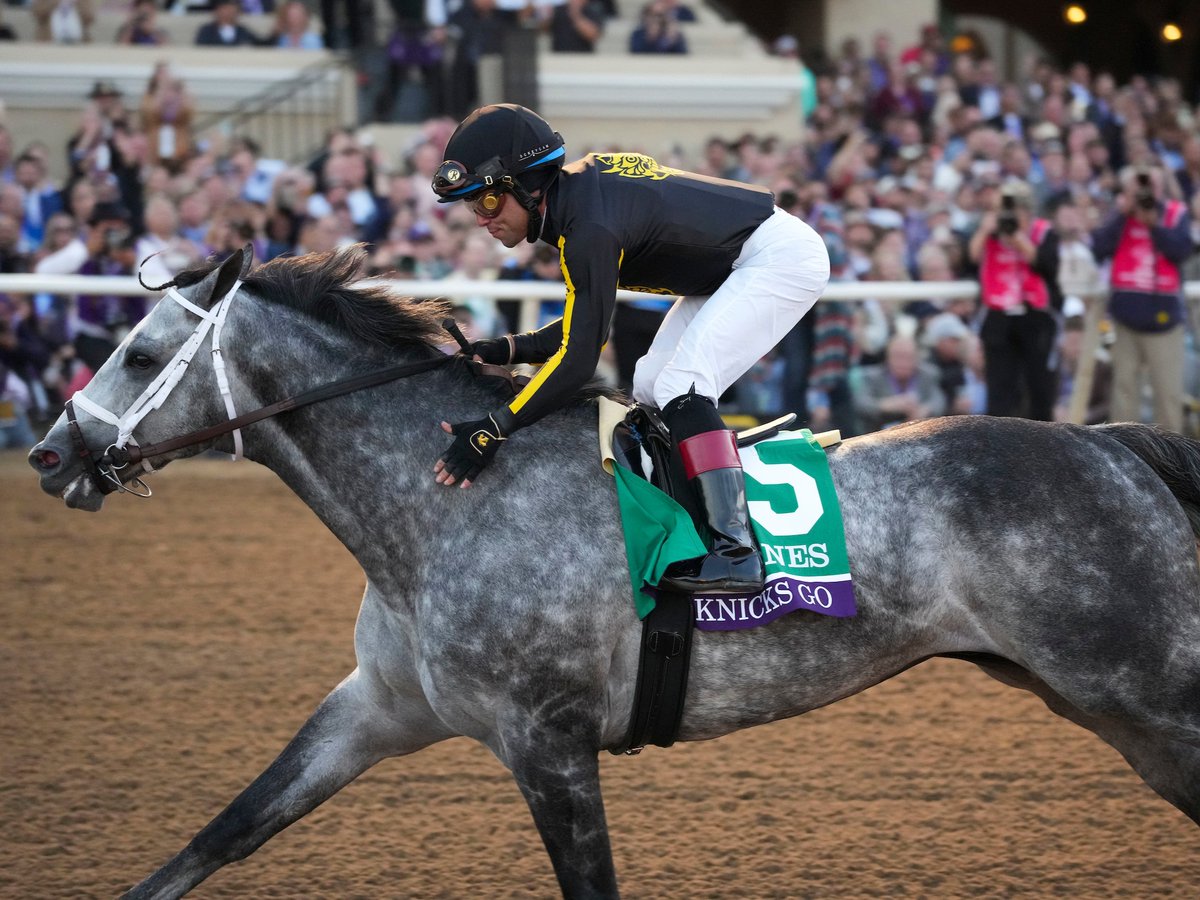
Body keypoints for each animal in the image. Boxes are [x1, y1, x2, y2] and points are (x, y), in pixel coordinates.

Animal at [23, 247, 1200, 900]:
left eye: (138, 354)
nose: (49, 454)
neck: (442, 505)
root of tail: (1106, 442)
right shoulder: (379, 706)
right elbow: (225, 831)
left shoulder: (548, 742)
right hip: (1104, 703)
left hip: (1148, 689)